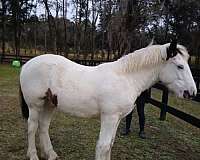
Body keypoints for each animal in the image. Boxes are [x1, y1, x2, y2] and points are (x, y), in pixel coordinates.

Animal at [19, 41, 196, 160]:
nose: (192, 92)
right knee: (32, 127)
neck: (126, 78)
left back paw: (50, 154)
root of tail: (27, 64)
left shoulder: (117, 118)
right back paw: (33, 155)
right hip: (35, 105)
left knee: (43, 127)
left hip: (49, 104)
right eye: (180, 66)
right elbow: (103, 146)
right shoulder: (109, 117)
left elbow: (109, 144)